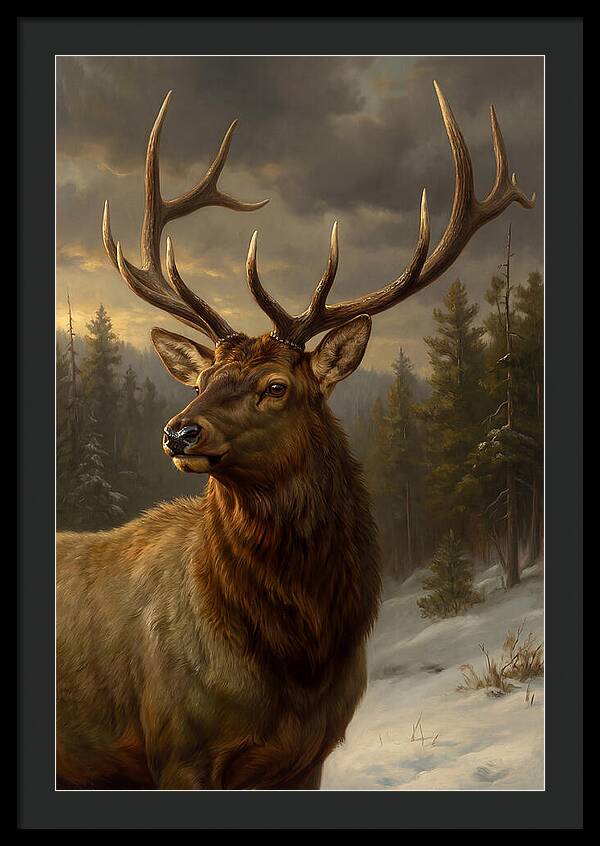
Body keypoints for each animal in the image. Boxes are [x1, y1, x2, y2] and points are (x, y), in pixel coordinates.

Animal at [56, 82, 535, 790]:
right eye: (202, 379)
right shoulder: (176, 749)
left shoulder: (307, 756)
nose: (178, 432)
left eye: (276, 385)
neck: (296, 659)